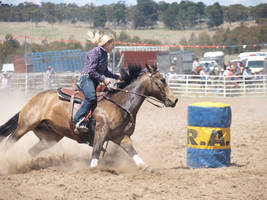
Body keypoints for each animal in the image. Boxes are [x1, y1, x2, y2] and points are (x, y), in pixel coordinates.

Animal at [0, 64, 178, 169]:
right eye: (162, 80)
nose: (174, 100)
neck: (120, 103)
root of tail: (33, 99)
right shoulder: (100, 132)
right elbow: (96, 153)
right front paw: (93, 170)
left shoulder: (121, 136)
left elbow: (133, 152)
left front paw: (146, 167)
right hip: (24, 127)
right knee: (9, 143)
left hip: (50, 137)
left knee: (32, 151)